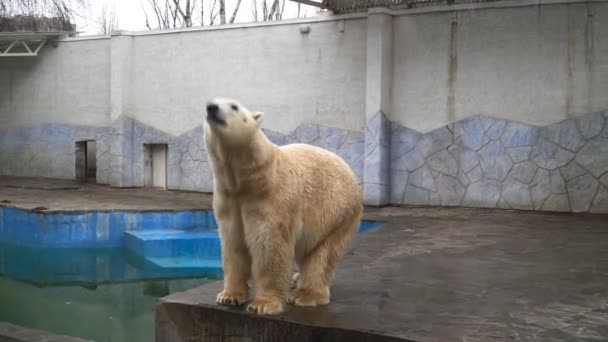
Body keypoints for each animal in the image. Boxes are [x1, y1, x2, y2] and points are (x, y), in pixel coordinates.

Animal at [207, 98, 364, 316]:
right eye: (211, 102)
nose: (211, 108)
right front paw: (228, 296)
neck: (248, 179)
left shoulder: (272, 198)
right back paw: (298, 278)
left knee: (322, 254)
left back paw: (305, 295)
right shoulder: (229, 199)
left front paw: (263, 304)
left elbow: (270, 246)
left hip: (337, 213)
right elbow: (234, 244)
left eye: (234, 106)